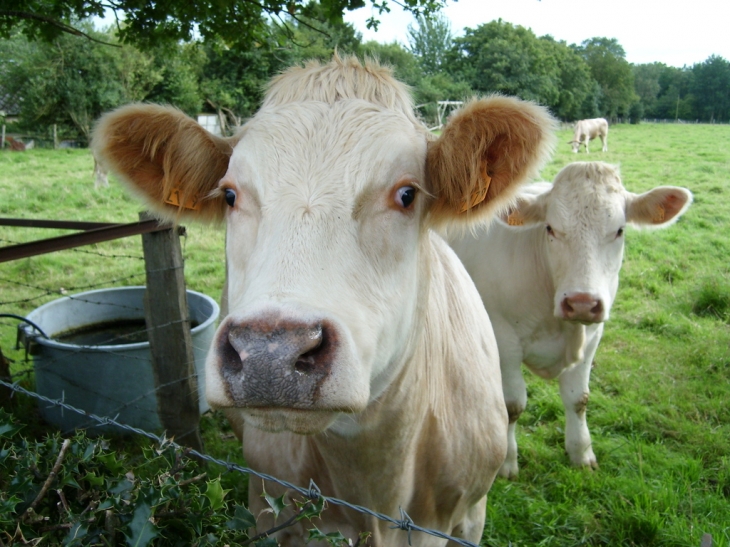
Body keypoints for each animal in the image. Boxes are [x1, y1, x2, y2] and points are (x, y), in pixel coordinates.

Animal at [94, 54, 556, 544]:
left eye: (407, 194)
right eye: (230, 194)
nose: (270, 354)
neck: (377, 491)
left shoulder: (467, 516)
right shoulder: (269, 512)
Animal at [446, 163, 692, 480]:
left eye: (619, 230)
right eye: (550, 228)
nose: (581, 303)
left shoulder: (592, 337)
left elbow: (578, 399)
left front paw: (581, 453)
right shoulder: (504, 339)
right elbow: (513, 404)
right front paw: (507, 463)